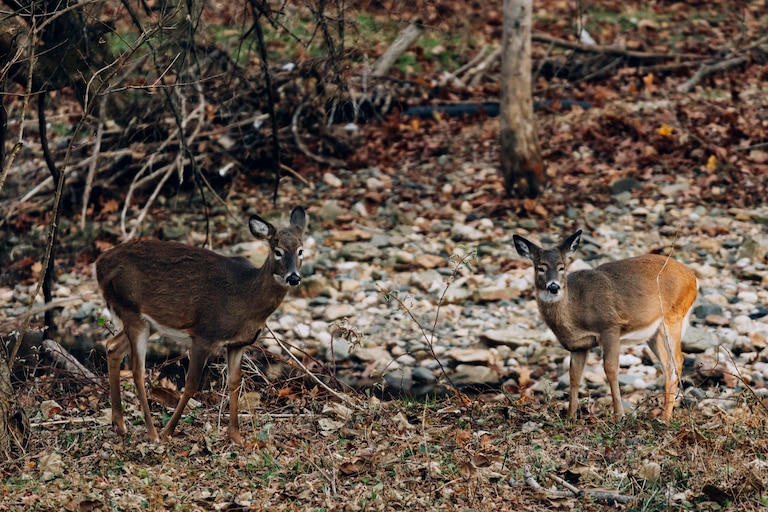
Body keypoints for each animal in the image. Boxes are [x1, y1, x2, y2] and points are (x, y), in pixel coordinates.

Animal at [96, 206, 307, 445]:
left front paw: (236, 437)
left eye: (300, 250)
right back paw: (153, 433)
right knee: (137, 370)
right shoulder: (205, 334)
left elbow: (234, 383)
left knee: (112, 346)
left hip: (146, 322)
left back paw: (120, 425)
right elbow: (191, 385)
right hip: (131, 311)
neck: (246, 297)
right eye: (277, 251)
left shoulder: (238, 343)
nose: (293, 278)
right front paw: (169, 431)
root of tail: (99, 264)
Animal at [512, 230, 697, 422]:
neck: (575, 312)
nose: (554, 287)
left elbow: (610, 369)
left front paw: (619, 415)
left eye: (562, 267)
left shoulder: (609, 327)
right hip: (653, 332)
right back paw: (662, 414)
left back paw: (666, 418)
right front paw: (571, 417)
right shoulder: (579, 345)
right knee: (666, 365)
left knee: (677, 360)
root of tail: (693, 278)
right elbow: (574, 376)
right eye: (540, 268)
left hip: (673, 316)